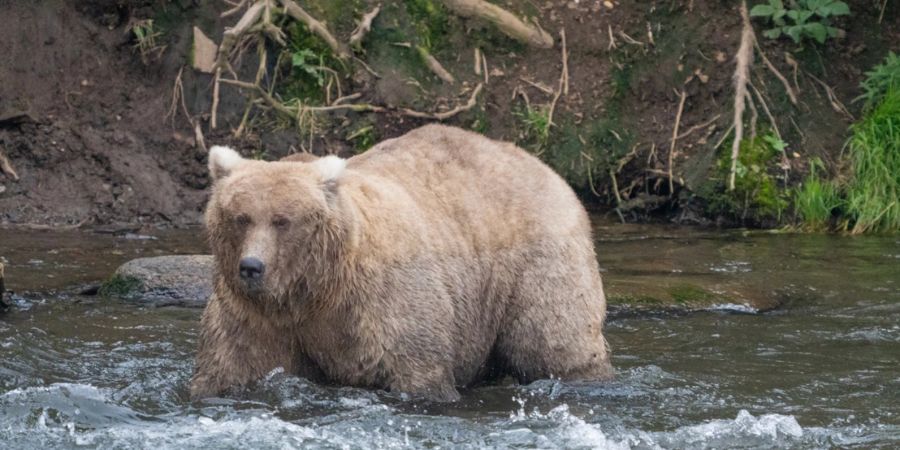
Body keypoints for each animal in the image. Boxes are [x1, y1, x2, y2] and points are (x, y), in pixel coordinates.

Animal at [190, 123, 612, 400]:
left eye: (282, 220)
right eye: (240, 217)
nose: (251, 267)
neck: (314, 289)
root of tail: (544, 167)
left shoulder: (381, 303)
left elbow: (416, 369)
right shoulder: (255, 316)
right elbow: (231, 366)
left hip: (535, 262)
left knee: (553, 340)